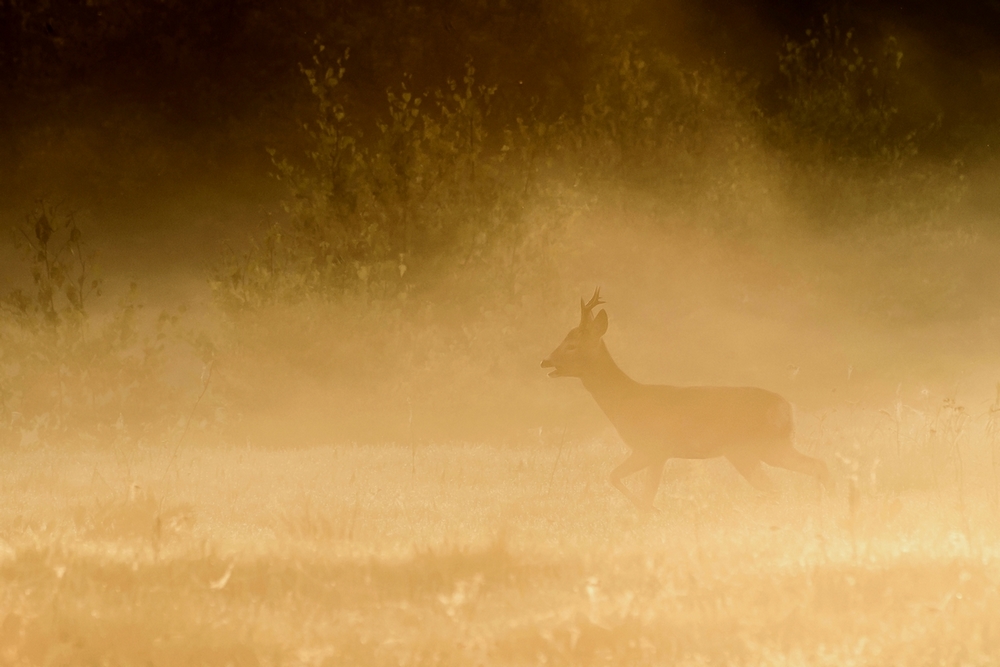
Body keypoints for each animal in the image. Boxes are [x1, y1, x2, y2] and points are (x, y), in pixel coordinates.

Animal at [544, 288, 832, 512]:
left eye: (572, 345)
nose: (546, 361)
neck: (625, 400)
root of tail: (788, 408)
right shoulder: (656, 453)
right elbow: (629, 483)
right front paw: (650, 510)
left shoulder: (653, 447)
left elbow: (619, 479)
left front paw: (651, 510)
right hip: (764, 448)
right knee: (812, 467)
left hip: (754, 447)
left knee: (784, 482)